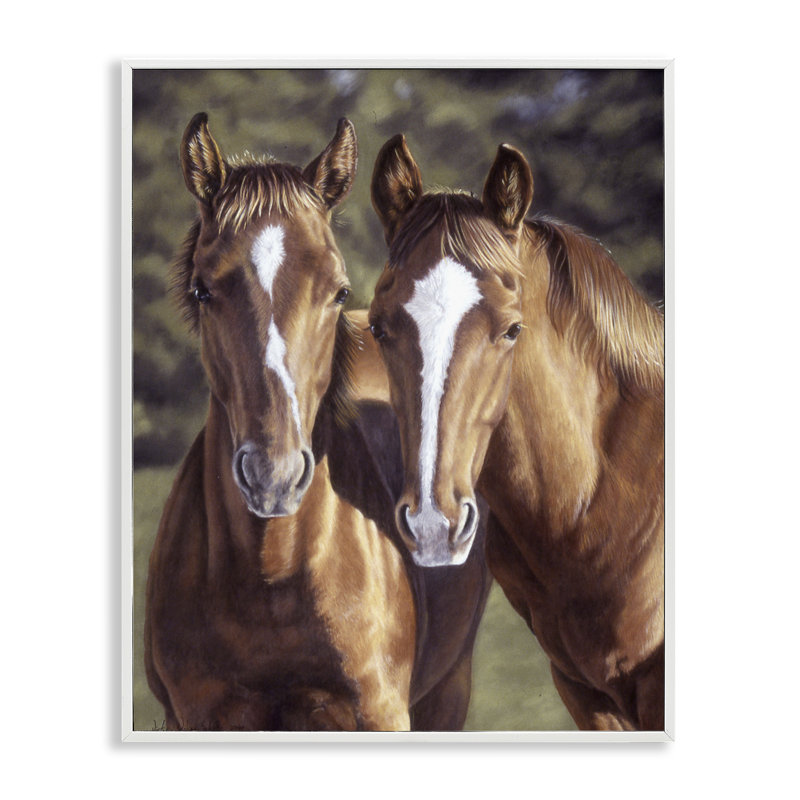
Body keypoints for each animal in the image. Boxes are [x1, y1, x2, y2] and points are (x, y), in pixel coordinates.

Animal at [143, 115, 491, 732]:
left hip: (449, 690)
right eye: (203, 290)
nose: (274, 476)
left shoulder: (381, 714)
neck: (274, 578)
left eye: (338, 290)